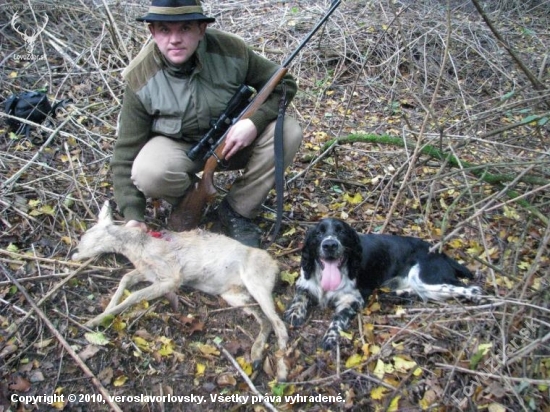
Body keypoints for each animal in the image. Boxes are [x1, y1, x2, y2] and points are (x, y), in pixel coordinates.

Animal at [73, 201, 292, 382]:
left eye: (86, 235)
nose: (74, 253)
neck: (139, 249)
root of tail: (276, 266)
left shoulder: (172, 276)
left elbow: (134, 295)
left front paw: (94, 321)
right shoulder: (151, 274)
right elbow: (125, 278)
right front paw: (103, 314)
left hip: (256, 281)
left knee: (280, 324)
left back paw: (282, 373)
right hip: (233, 294)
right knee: (266, 321)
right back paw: (255, 357)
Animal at [284, 217, 484, 350]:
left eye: (341, 231)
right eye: (319, 233)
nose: (330, 245)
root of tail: (441, 253)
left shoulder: (353, 299)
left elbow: (338, 319)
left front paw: (331, 336)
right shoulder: (304, 282)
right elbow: (300, 296)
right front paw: (295, 313)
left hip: (424, 276)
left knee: (471, 288)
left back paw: (478, 298)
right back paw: (397, 294)